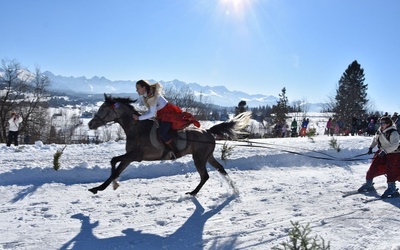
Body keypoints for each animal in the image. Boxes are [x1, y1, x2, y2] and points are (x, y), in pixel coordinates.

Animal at [88, 94, 250, 195]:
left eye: (103, 109)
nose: (90, 124)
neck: (137, 129)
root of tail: (208, 131)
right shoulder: (129, 157)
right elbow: (116, 168)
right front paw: (100, 187)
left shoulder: (135, 156)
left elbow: (114, 162)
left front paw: (106, 186)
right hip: (207, 156)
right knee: (220, 168)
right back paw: (234, 189)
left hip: (199, 158)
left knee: (205, 176)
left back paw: (193, 193)